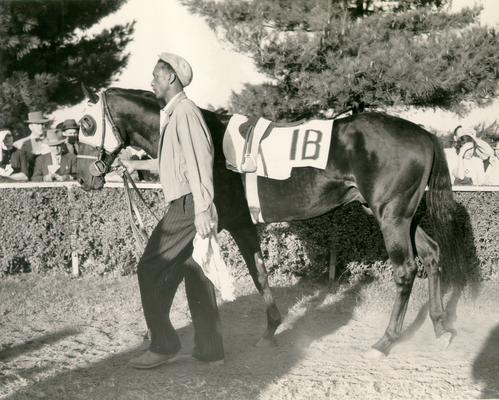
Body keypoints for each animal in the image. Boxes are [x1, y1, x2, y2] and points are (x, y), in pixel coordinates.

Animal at [76, 86, 462, 356]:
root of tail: (425, 134)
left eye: (85, 123)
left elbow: (243, 273)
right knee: (432, 253)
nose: (82, 177)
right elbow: (257, 273)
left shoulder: (227, 224)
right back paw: (441, 328)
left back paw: (386, 340)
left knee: (406, 269)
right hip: (402, 214)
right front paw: (270, 329)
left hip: (391, 216)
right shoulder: (238, 225)